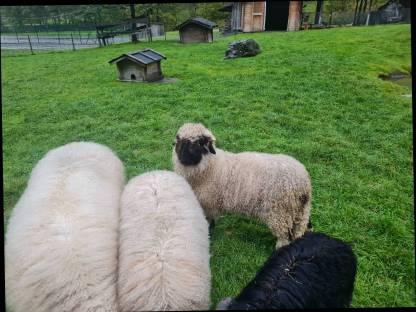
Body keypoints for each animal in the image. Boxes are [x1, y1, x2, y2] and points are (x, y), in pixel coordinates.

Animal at [172, 123, 312, 247]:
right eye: (182, 141)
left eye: (200, 143)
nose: (184, 158)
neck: (210, 167)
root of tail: (303, 181)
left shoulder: (208, 203)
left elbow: (208, 221)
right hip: (300, 211)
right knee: (302, 228)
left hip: (279, 212)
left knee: (285, 236)